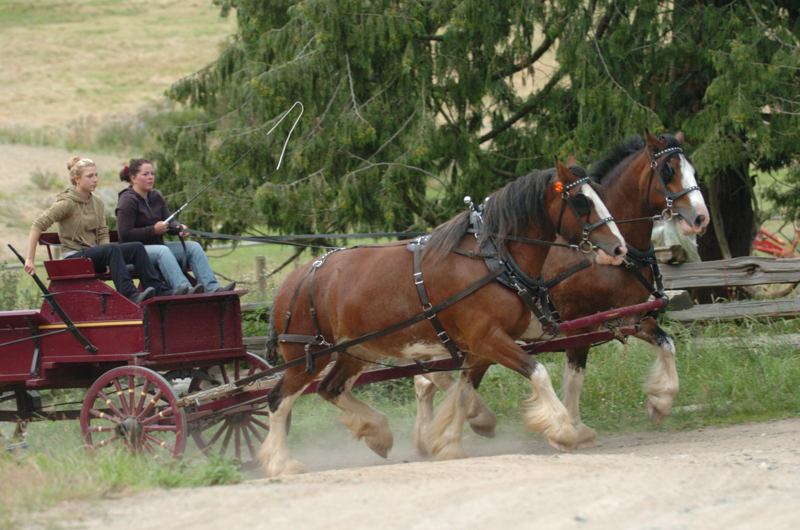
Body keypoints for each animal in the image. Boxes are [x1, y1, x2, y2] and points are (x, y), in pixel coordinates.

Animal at [258, 157, 627, 476]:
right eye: (581, 201)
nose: (620, 249)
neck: (492, 259)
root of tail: (292, 279)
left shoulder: (480, 348)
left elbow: (464, 394)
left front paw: (448, 443)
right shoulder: (489, 338)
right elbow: (538, 373)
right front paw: (563, 430)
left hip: (354, 351)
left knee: (330, 390)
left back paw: (377, 432)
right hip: (309, 357)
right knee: (278, 401)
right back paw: (282, 464)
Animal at [412, 130, 710, 454]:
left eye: (693, 170)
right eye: (668, 171)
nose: (701, 218)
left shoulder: (629, 317)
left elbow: (667, 345)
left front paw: (660, 402)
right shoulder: (581, 324)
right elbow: (575, 378)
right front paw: (574, 428)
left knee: (428, 380)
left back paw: (429, 437)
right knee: (431, 376)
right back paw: (469, 420)